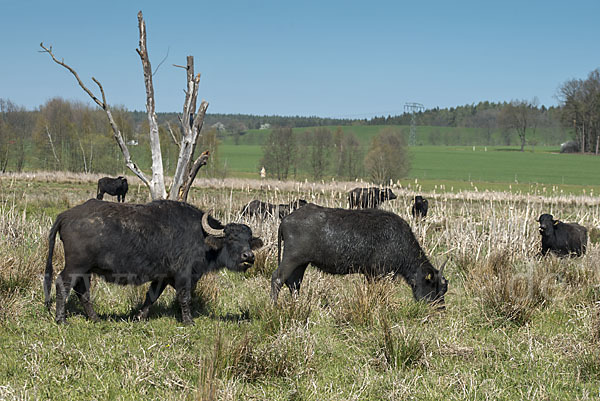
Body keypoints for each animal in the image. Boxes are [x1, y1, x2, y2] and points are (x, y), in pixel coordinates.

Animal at [43, 198, 264, 324]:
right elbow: (185, 298)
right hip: (75, 266)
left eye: (248, 240)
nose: (248, 257)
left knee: (83, 291)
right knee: (62, 284)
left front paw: (139, 317)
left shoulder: (162, 276)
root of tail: (66, 215)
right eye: (231, 238)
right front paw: (188, 321)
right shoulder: (183, 275)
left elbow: (151, 296)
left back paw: (95, 318)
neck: (202, 237)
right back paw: (61, 319)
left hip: (85, 270)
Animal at [270, 203, 446, 304]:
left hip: (301, 263)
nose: (440, 307)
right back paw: (274, 305)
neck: (398, 240)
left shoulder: (370, 274)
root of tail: (286, 220)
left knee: (294, 283)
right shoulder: (380, 273)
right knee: (278, 278)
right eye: (434, 286)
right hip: (292, 259)